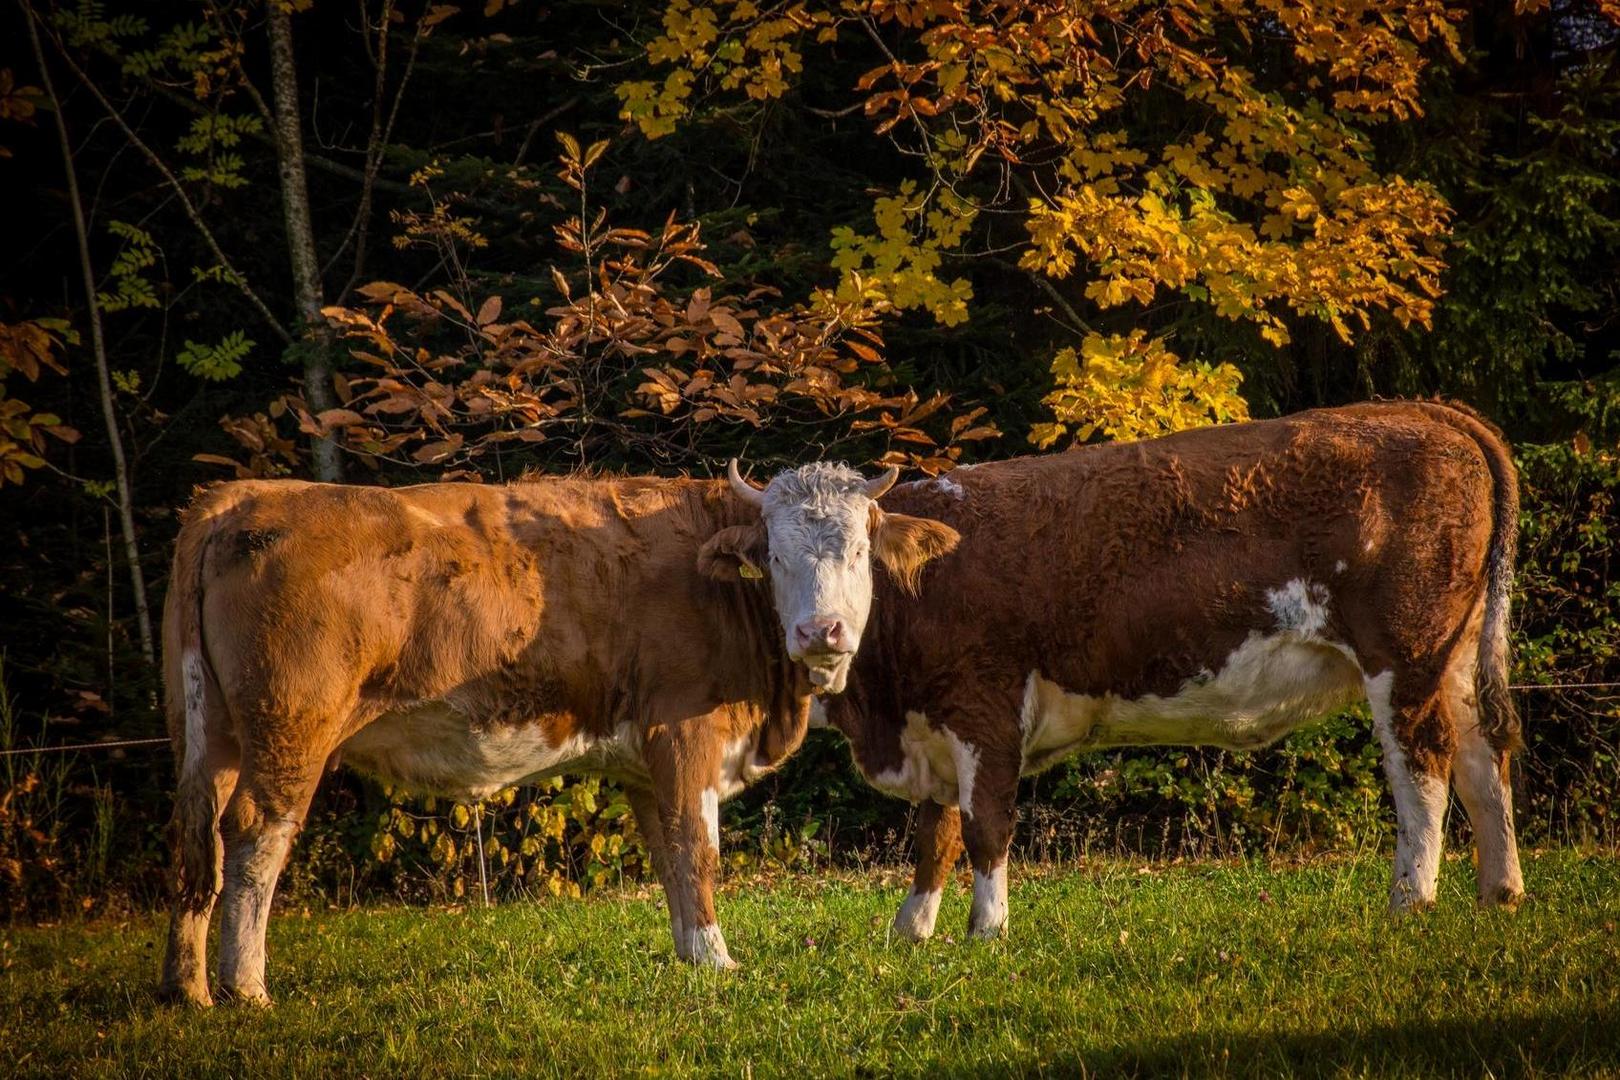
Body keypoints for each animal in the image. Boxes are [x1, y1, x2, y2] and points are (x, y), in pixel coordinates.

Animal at [157, 472, 952, 1003]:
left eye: (857, 554)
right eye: (778, 558)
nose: (821, 631)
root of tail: (244, 495)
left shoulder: (645, 761)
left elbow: (670, 856)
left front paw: (691, 957)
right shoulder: (684, 732)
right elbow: (697, 851)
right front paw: (720, 961)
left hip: (213, 734)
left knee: (197, 840)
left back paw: (186, 987)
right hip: (290, 729)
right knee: (255, 837)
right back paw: (246, 988)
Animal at [716, 403, 1522, 945]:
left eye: (859, 552)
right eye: (776, 558)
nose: (822, 632)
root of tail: (1419, 411)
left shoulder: (985, 706)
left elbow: (983, 826)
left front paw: (987, 931)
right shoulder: (932, 721)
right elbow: (932, 832)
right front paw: (912, 931)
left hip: (1405, 657)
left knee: (1424, 765)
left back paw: (1412, 898)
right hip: (1454, 656)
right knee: (1484, 758)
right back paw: (1499, 891)